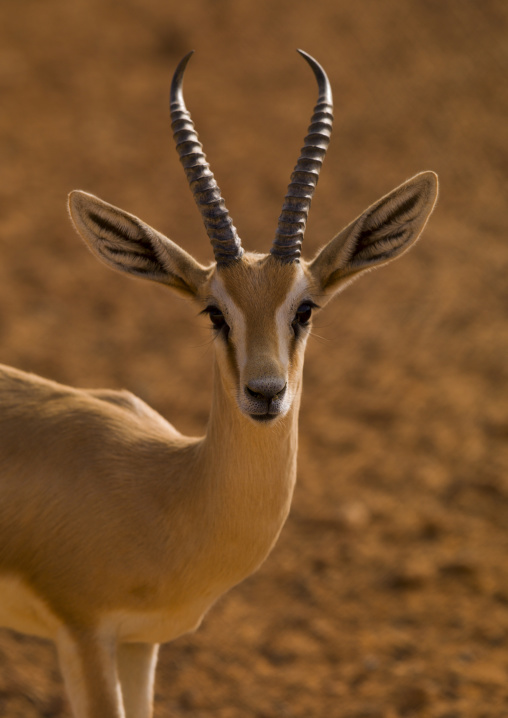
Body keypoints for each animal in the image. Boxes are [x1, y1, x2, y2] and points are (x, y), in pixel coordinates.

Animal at [0, 50, 438, 718]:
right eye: (214, 312)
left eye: (304, 308)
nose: (265, 392)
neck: (170, 489)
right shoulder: (81, 633)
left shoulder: (141, 642)